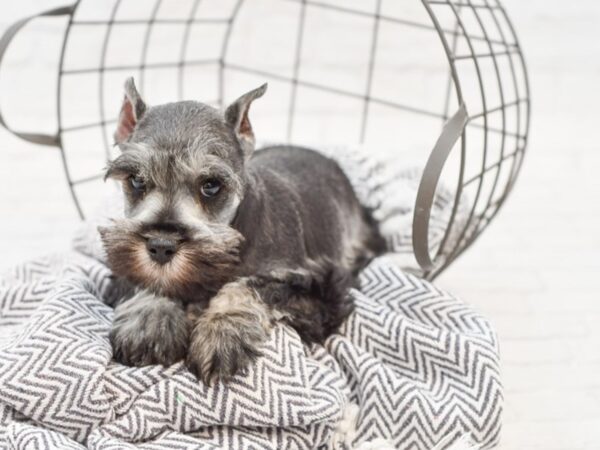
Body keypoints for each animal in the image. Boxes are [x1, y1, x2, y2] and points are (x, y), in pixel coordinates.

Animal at [99, 78, 384, 384]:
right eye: (136, 180)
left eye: (211, 185)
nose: (161, 246)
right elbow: (147, 278)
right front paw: (149, 321)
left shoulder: (322, 290)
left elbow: (251, 286)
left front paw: (221, 333)